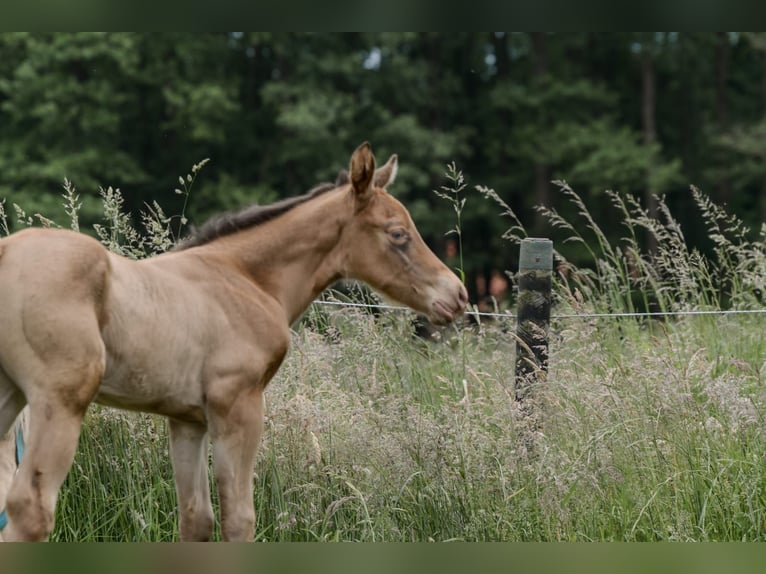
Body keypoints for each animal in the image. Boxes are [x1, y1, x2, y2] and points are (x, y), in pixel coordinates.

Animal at [0, 145, 468, 544]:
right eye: (398, 233)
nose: (458, 295)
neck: (246, 277)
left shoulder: (187, 420)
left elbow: (197, 519)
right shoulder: (238, 405)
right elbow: (239, 519)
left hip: (9, 398)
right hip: (60, 400)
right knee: (29, 509)